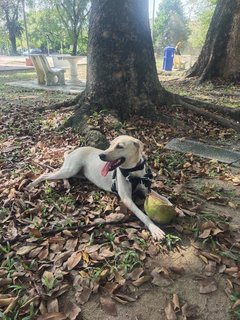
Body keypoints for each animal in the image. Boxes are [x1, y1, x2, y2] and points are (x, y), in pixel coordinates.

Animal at [28, 136, 165, 240]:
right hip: (70, 169)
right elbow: (143, 215)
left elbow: (161, 197)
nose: (101, 155)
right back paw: (31, 185)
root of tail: (73, 151)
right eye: (110, 144)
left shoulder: (146, 188)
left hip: (76, 173)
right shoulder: (127, 199)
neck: (133, 172)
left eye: (120, 146)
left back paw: (66, 184)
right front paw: (155, 229)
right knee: (46, 175)